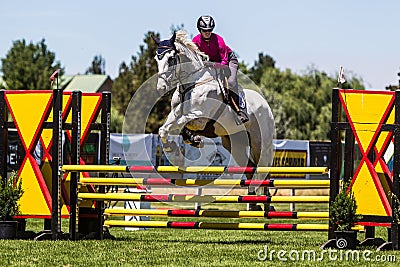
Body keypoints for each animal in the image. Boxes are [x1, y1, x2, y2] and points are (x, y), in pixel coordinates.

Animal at [152, 30, 276, 207]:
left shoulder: (199, 118)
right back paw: (253, 202)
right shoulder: (175, 114)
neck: (191, 83)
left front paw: (182, 144)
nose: (160, 88)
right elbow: (165, 129)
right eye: (157, 59)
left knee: (263, 168)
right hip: (234, 141)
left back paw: (266, 202)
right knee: (250, 167)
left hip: (259, 142)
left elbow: (180, 123)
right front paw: (182, 144)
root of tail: (265, 104)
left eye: (171, 58)